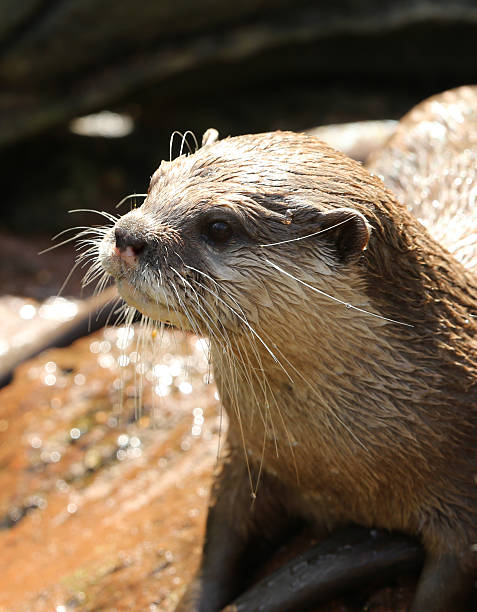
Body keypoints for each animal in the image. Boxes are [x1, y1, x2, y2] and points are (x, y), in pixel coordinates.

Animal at [97, 87, 476, 612]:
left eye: (219, 227)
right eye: (154, 182)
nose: (127, 235)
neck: (338, 467)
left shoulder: (463, 511)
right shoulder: (245, 459)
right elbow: (217, 543)